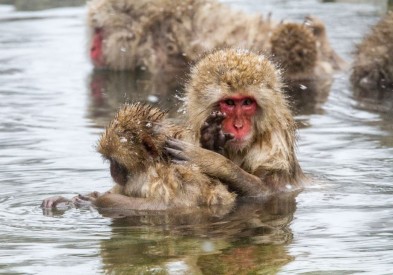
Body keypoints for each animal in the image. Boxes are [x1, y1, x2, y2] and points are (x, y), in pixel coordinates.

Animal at [41, 103, 234, 211]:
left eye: (114, 161)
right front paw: (63, 200)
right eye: (109, 161)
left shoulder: (171, 176)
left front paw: (96, 201)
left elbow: (174, 205)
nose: (112, 171)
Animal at [164, 48, 304, 197]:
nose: (238, 126)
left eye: (247, 102)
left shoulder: (275, 146)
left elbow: (271, 190)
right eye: (229, 102)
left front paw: (211, 161)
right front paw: (211, 139)